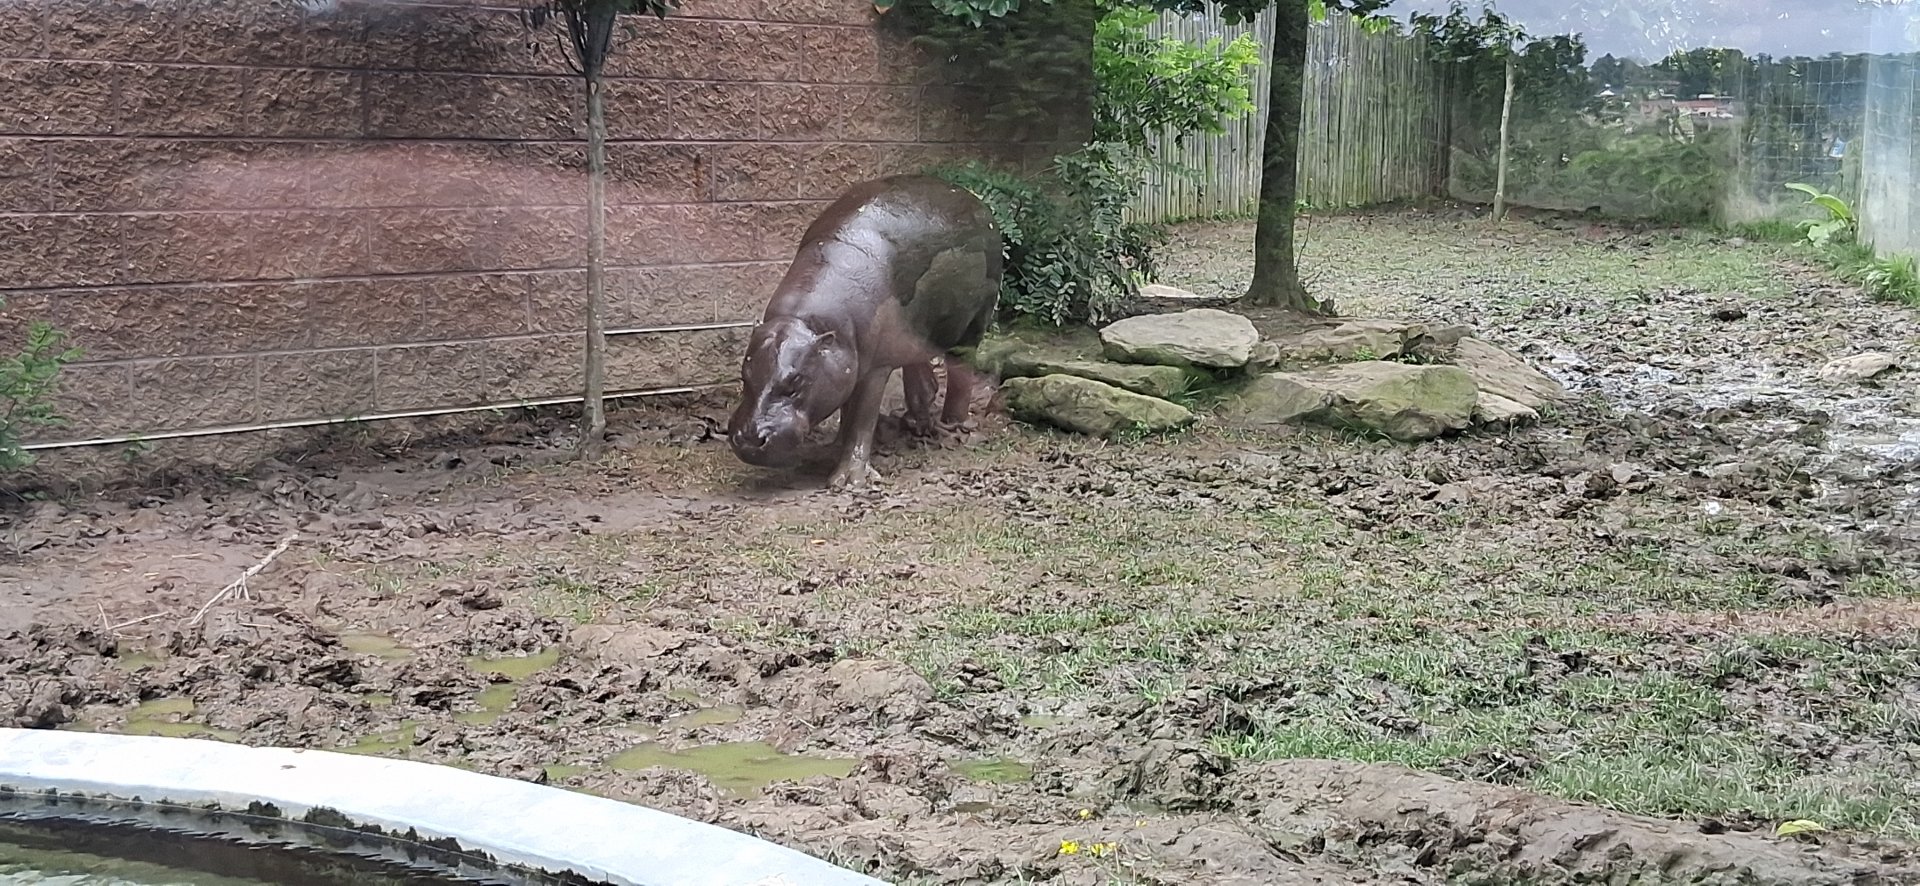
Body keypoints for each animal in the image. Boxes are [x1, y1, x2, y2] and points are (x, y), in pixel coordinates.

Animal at [726, 174, 1004, 489]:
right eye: (745, 375)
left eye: (796, 382)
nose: (749, 439)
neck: (808, 322)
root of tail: (976, 201)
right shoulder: (847, 358)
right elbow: (847, 408)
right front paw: (832, 449)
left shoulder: (873, 368)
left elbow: (861, 417)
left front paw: (848, 480)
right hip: (917, 332)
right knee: (920, 373)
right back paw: (916, 424)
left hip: (974, 324)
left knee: (961, 371)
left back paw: (953, 426)